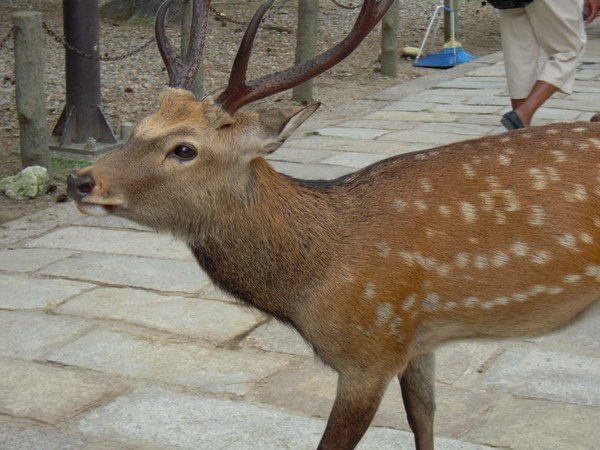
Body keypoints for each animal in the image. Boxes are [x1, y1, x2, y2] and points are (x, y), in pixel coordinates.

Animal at [65, 0, 600, 448]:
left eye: (184, 148)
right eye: (136, 128)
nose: (78, 180)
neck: (313, 283)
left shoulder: (370, 349)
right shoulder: (415, 337)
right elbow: (423, 416)